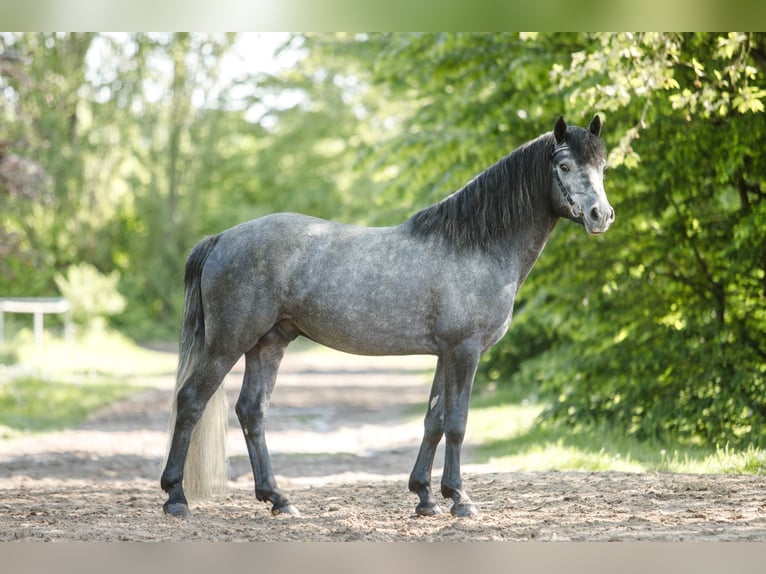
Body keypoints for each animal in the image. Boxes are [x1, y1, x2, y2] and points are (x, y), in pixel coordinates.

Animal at [162, 116, 616, 520]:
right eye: (564, 165)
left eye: (603, 166)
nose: (601, 215)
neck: (475, 245)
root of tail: (222, 238)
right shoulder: (464, 351)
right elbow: (457, 422)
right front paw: (460, 499)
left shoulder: (445, 353)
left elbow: (434, 420)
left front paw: (425, 497)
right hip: (228, 343)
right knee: (191, 401)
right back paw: (176, 498)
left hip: (268, 343)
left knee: (251, 411)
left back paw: (278, 499)